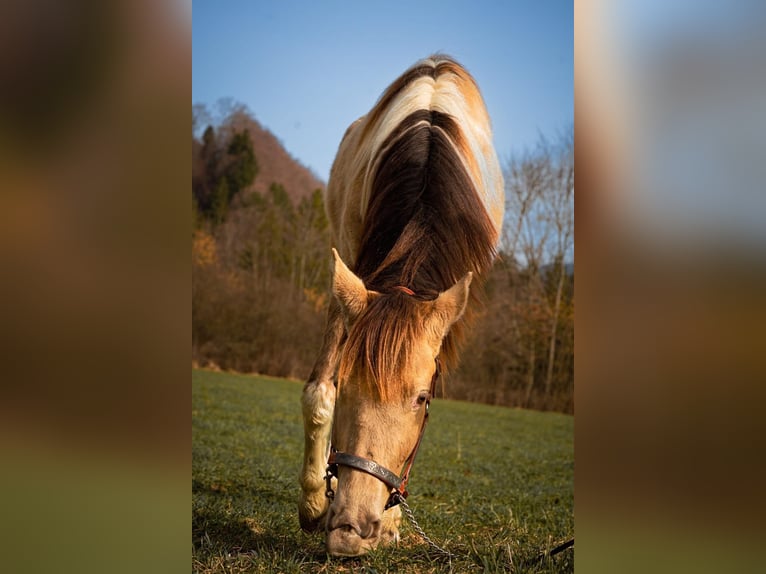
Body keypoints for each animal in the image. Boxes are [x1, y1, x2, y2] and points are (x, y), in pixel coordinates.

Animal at [298, 54, 504, 556]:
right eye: (348, 386)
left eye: (422, 398)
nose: (350, 529)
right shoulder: (351, 267)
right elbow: (319, 391)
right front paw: (313, 503)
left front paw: (391, 521)